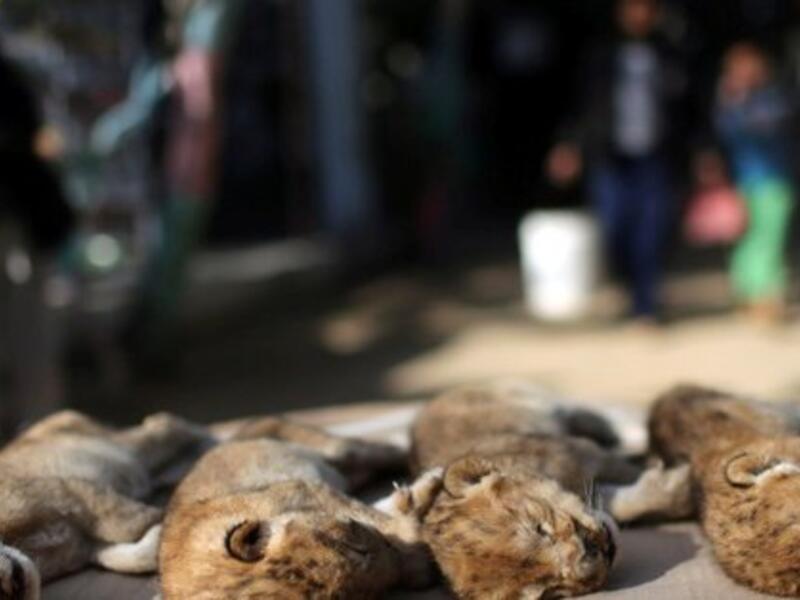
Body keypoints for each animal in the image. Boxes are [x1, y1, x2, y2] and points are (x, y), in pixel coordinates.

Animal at [158, 424, 432, 599]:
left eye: (354, 547)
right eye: (361, 593)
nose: (389, 551)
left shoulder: (310, 489)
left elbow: (377, 516)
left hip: (338, 448)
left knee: (387, 451)